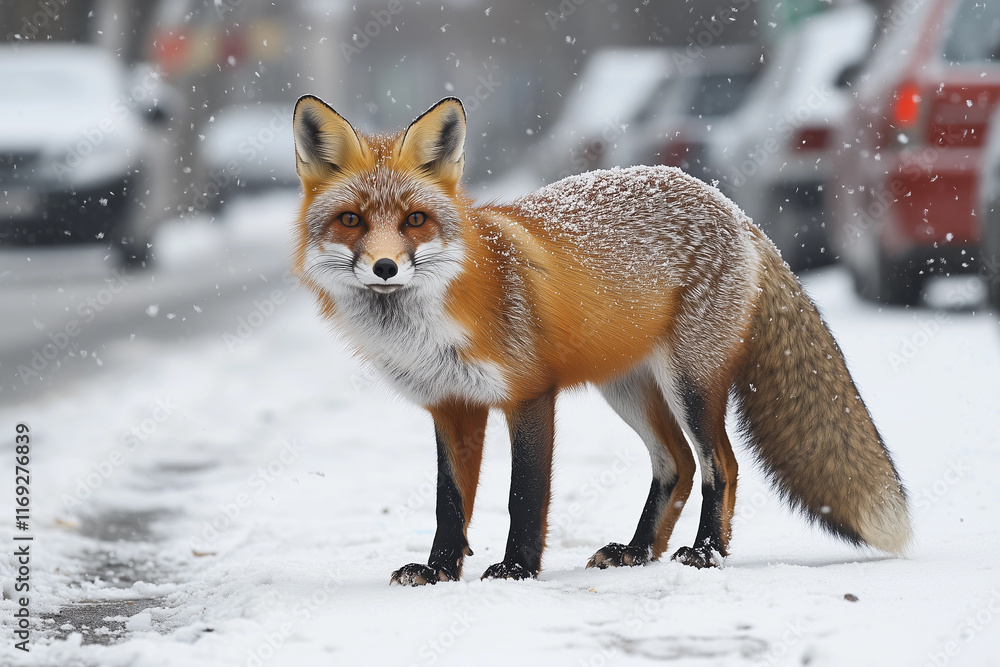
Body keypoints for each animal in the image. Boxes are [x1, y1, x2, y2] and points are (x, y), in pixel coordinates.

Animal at [290, 95, 911, 586]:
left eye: (415, 220)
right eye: (351, 220)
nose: (385, 268)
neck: (434, 322)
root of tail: (732, 209)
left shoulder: (529, 395)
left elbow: (523, 496)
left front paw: (516, 569)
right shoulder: (453, 406)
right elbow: (450, 503)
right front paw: (439, 569)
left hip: (691, 383)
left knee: (722, 466)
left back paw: (705, 553)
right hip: (628, 389)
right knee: (677, 465)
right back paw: (637, 551)